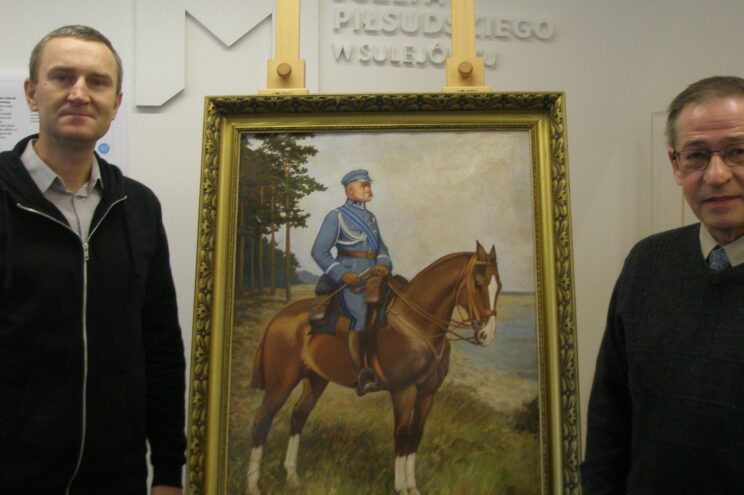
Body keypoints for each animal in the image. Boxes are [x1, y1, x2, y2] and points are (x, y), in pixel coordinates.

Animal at [246, 241, 501, 495]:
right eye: (478, 284)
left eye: (498, 286)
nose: (486, 335)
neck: (417, 326)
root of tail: (279, 317)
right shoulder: (404, 391)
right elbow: (402, 435)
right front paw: (401, 487)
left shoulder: (428, 394)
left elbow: (415, 435)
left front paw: (412, 486)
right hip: (281, 383)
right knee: (262, 420)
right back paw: (252, 484)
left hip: (316, 379)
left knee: (299, 415)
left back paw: (292, 477)